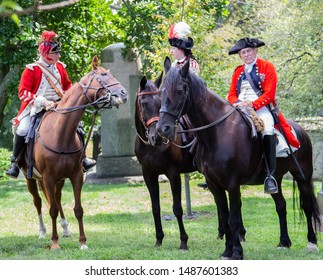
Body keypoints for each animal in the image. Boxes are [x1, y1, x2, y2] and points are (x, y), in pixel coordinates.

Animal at [19, 55, 128, 249]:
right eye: (103, 75)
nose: (123, 94)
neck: (61, 133)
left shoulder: (76, 175)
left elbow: (78, 209)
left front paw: (83, 241)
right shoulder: (48, 178)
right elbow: (52, 209)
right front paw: (55, 242)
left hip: (59, 180)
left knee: (57, 198)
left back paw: (65, 228)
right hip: (30, 177)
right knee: (38, 202)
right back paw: (42, 231)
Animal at [157, 55, 322, 260]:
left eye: (180, 91)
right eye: (161, 92)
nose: (162, 129)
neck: (217, 133)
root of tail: (301, 130)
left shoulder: (233, 184)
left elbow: (234, 218)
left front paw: (237, 252)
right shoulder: (214, 184)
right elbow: (224, 216)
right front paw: (227, 250)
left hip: (303, 176)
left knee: (307, 206)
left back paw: (311, 243)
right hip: (275, 178)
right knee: (281, 205)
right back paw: (284, 242)